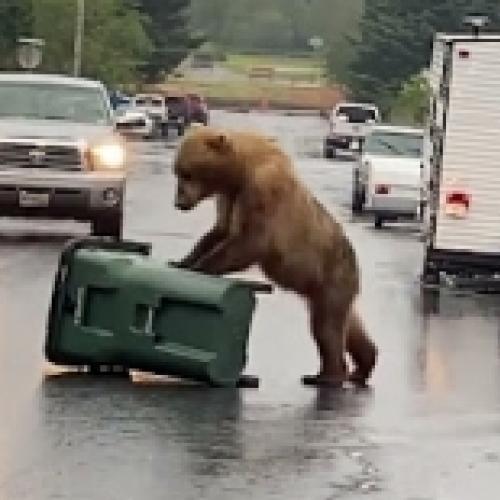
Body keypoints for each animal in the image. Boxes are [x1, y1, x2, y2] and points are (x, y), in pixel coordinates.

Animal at [174, 127, 376, 384]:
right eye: (177, 171)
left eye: (187, 173)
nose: (179, 202)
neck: (240, 170)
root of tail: (355, 268)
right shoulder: (229, 196)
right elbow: (220, 231)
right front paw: (182, 261)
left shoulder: (263, 191)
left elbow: (250, 241)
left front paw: (201, 267)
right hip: (326, 287)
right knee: (349, 324)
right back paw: (362, 366)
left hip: (332, 274)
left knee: (326, 327)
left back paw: (325, 376)